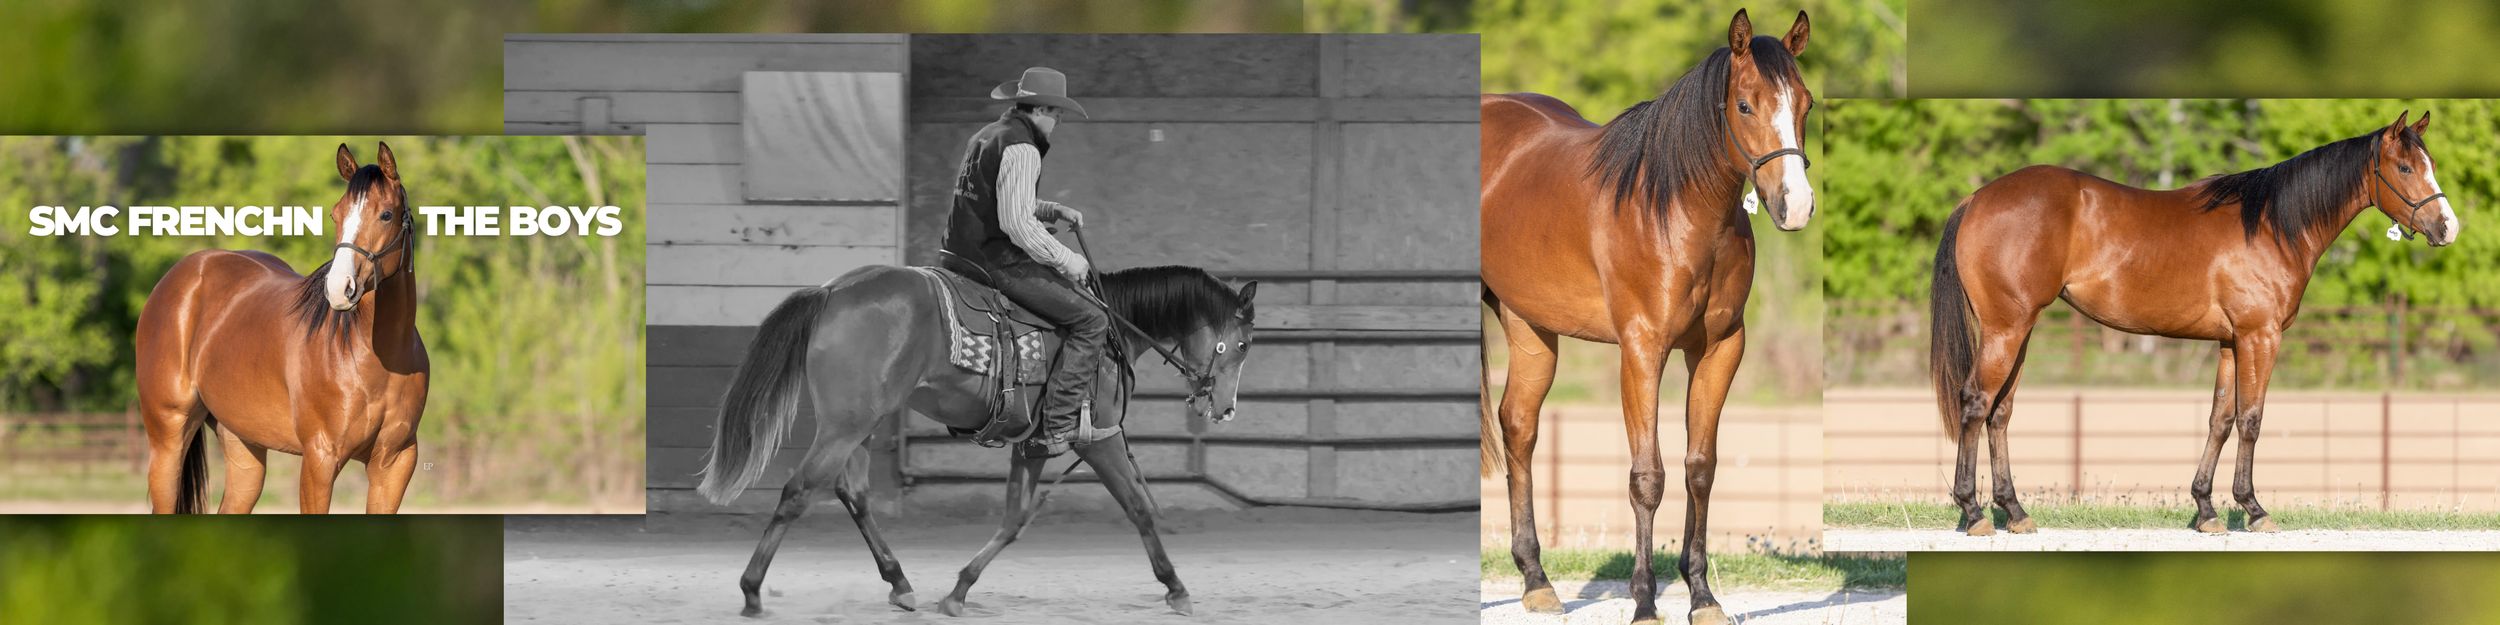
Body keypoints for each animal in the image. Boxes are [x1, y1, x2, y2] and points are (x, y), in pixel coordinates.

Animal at [135, 142, 429, 514]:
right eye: (335, 214)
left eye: (386, 215)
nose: (339, 288)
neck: (379, 358)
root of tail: (186, 272)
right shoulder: (320, 458)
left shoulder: (394, 464)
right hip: (168, 439)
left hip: (243, 446)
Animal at [694, 262, 1257, 618]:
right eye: (1243, 344)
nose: (1225, 408)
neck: (1109, 335)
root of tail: (833, 290)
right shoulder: (1099, 439)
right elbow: (1138, 506)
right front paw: (1176, 587)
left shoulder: (1032, 445)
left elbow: (1014, 520)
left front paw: (959, 590)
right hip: (845, 425)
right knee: (797, 491)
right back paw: (751, 591)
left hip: (861, 424)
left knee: (851, 494)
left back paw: (900, 583)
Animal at [1479, 10, 1814, 625]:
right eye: (1745, 105)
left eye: (1804, 102)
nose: (1795, 205)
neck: (1673, 209)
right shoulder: (1641, 350)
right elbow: (1647, 477)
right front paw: (1643, 602)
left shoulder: (1720, 348)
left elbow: (1700, 467)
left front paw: (1702, 597)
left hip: (1530, 328)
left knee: (1519, 426)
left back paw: (1537, 581)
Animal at [1930, 111, 2460, 536]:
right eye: (2406, 167)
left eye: (2430, 163)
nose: (2448, 227)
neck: (2271, 226)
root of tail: (1976, 198)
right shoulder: (2260, 337)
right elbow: (2251, 419)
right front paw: (2254, 509)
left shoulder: (2230, 342)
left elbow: (2220, 420)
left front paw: (2206, 510)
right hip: (2006, 330)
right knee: (1975, 402)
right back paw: (1973, 513)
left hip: (2019, 331)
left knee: (2000, 412)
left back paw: (2015, 512)